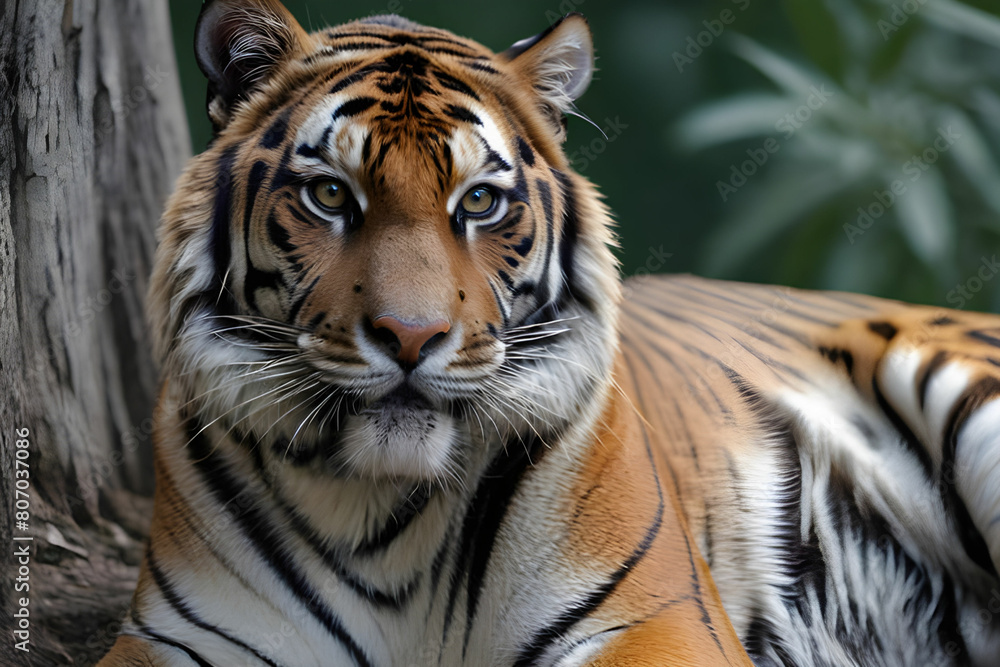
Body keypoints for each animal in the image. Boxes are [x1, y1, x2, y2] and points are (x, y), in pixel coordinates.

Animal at [98, 0, 1000, 665]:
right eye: (329, 195)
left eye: (479, 201)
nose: (410, 336)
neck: (381, 516)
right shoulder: (181, 641)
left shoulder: (656, 622)